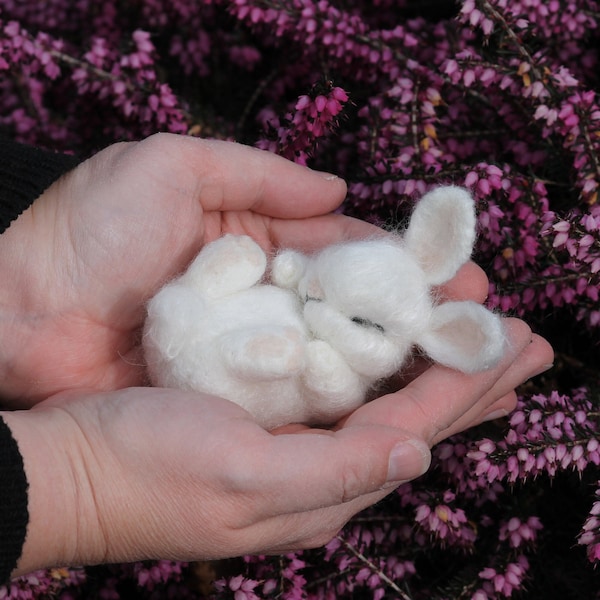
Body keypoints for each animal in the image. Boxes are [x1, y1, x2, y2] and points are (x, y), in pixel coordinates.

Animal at [143, 185, 504, 428]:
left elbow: (335, 389)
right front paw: (289, 268)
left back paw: (281, 345)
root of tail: (171, 360)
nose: (314, 294)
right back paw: (239, 255)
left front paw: (319, 357)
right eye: (351, 253)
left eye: (366, 323)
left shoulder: (344, 397)